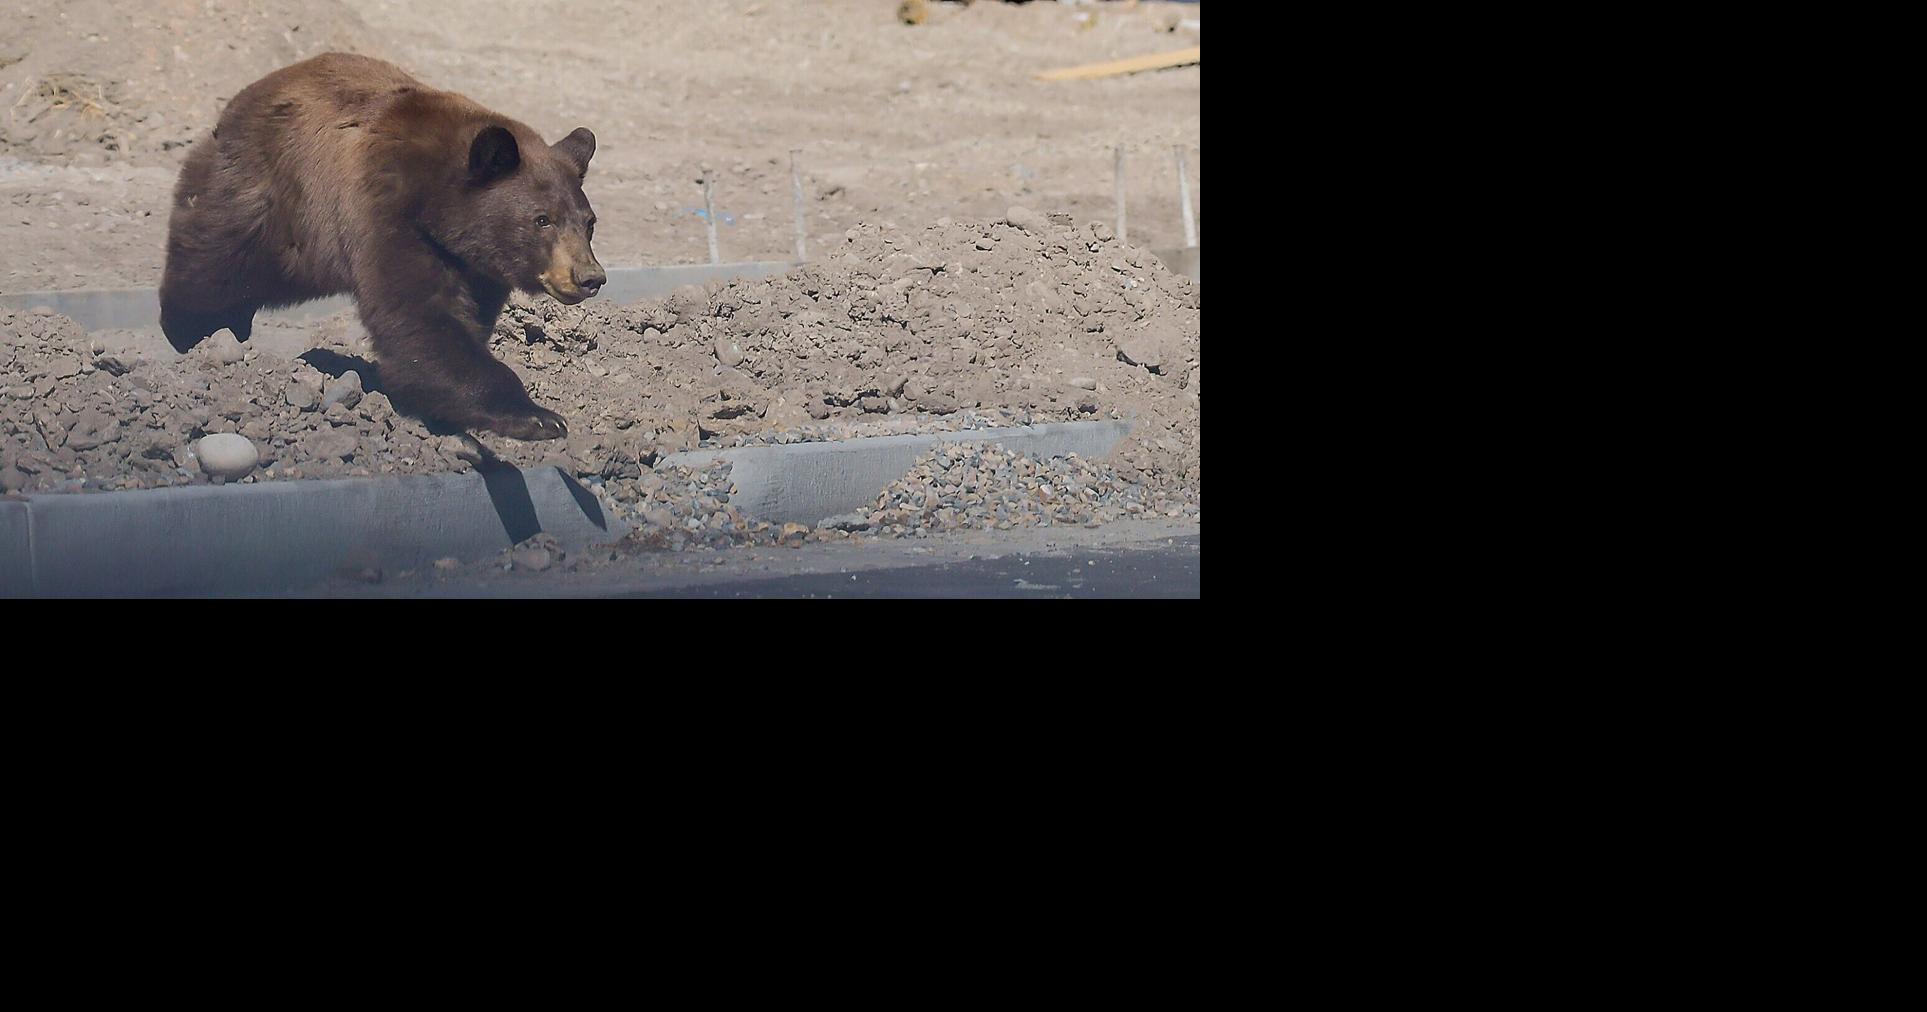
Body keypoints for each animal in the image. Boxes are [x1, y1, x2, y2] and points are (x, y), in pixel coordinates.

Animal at [158, 52, 604, 440]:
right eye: (542, 219)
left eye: (589, 223)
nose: (590, 277)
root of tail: (238, 104)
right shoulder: (384, 210)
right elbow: (419, 317)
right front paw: (537, 416)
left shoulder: (475, 265)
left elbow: (463, 322)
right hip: (265, 198)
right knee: (213, 263)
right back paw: (192, 330)